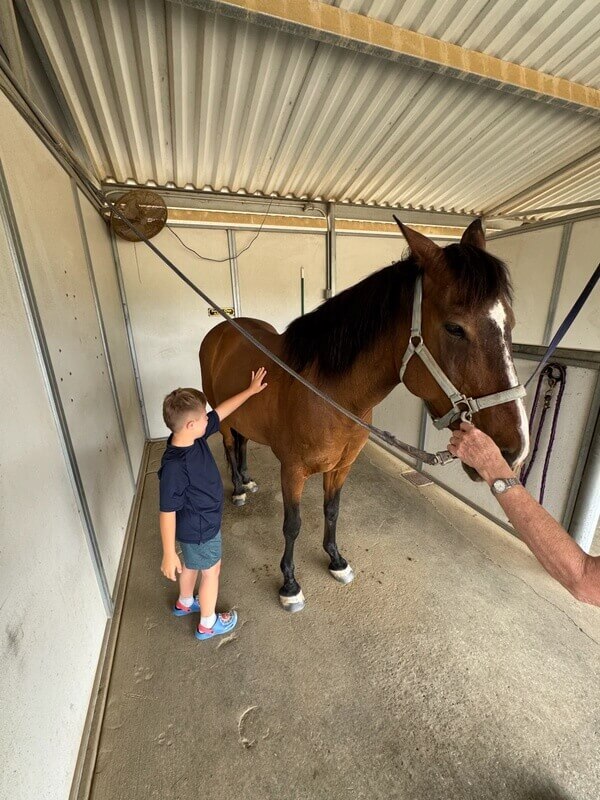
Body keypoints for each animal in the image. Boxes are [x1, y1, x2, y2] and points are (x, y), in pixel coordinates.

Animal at [199, 219, 529, 612]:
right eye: (454, 328)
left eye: (510, 322)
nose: (513, 449)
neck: (326, 391)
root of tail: (222, 331)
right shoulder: (292, 470)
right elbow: (292, 524)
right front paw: (290, 584)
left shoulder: (343, 466)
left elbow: (332, 511)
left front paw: (336, 561)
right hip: (222, 415)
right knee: (229, 445)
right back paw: (237, 489)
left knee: (243, 442)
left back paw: (247, 481)